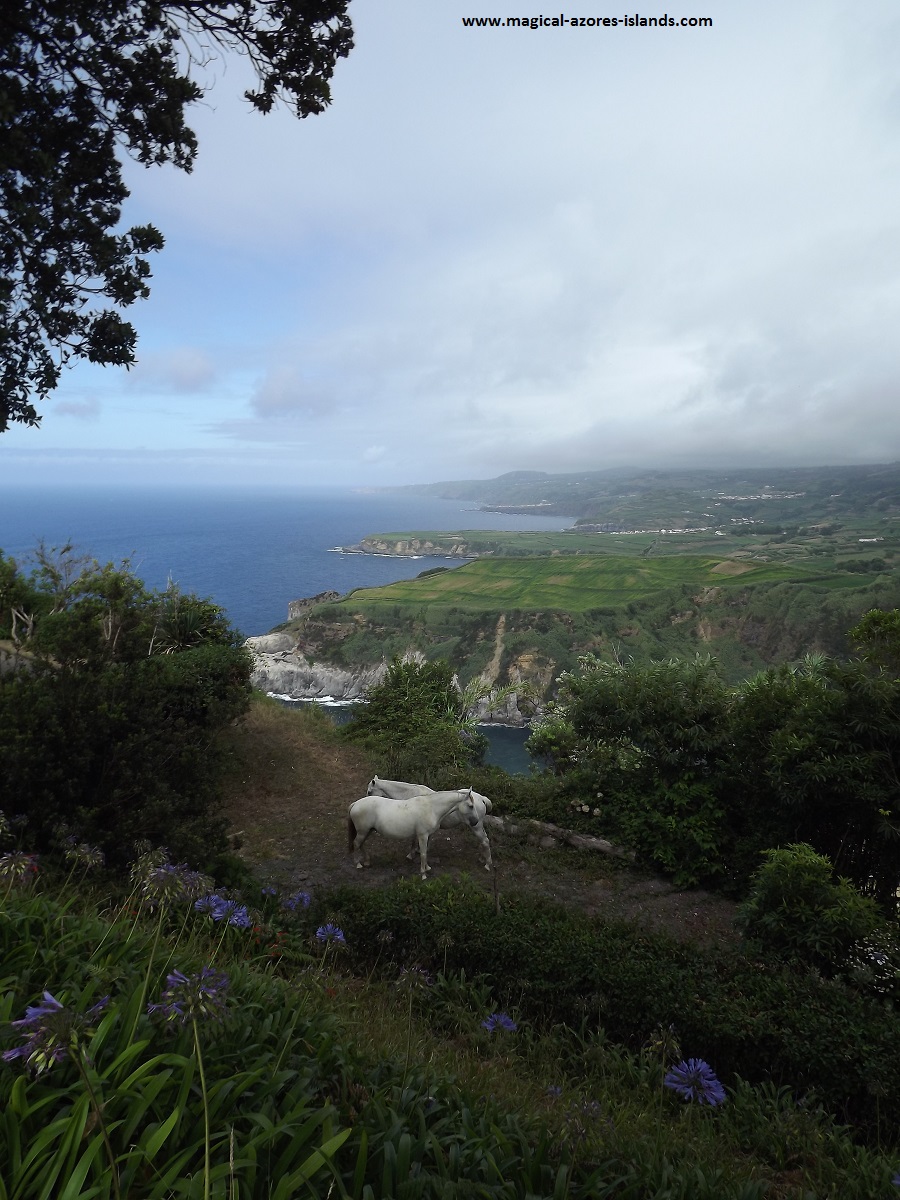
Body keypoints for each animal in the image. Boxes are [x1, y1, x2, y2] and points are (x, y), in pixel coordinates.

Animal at [348, 787, 482, 883]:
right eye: (471, 806)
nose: (475, 821)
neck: (431, 807)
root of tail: (355, 804)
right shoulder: (422, 835)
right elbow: (423, 854)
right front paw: (423, 874)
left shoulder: (425, 836)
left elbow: (425, 852)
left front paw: (427, 868)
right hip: (363, 831)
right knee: (356, 844)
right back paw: (358, 864)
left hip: (367, 831)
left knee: (361, 844)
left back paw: (367, 861)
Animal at [367, 777, 496, 873]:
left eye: (369, 791)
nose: (366, 799)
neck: (409, 794)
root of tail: (482, 798)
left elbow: (414, 841)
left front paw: (411, 854)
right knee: (483, 841)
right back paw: (482, 859)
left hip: (475, 826)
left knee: (485, 841)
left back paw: (487, 864)